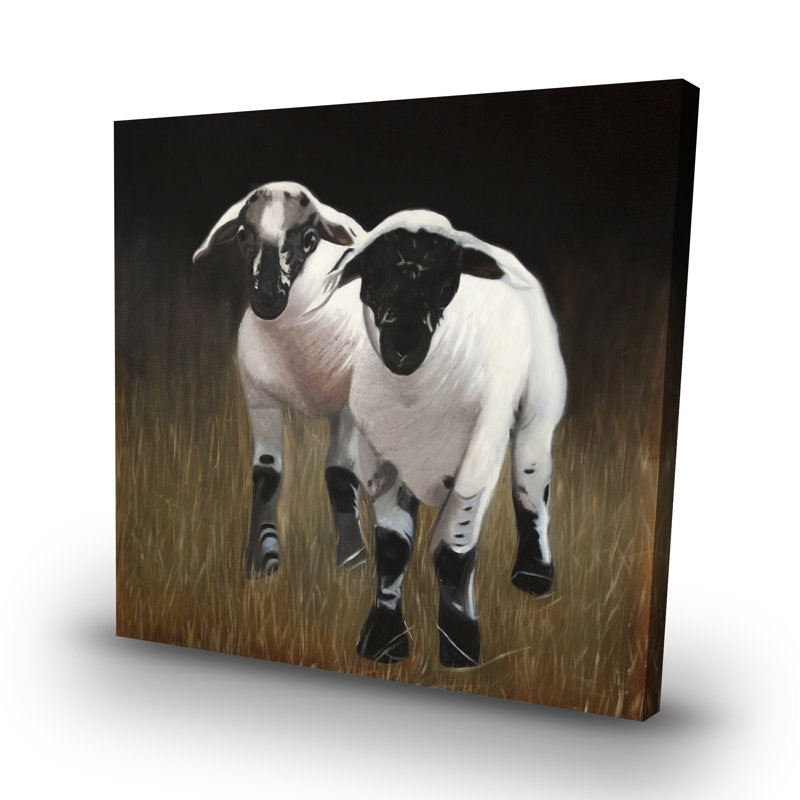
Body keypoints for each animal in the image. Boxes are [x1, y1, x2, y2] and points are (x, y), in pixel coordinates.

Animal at [193, 181, 373, 576]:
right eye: (243, 234)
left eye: (309, 238)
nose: (267, 296)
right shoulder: (260, 398)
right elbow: (267, 474)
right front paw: (263, 561)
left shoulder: (349, 407)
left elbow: (339, 474)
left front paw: (353, 559)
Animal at [325, 210, 567, 667]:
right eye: (372, 277)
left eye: (445, 283)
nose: (403, 347)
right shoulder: (378, 457)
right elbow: (393, 548)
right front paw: (383, 641)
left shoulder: (479, 456)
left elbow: (452, 550)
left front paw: (460, 647)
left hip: (538, 410)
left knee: (531, 486)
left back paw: (534, 573)